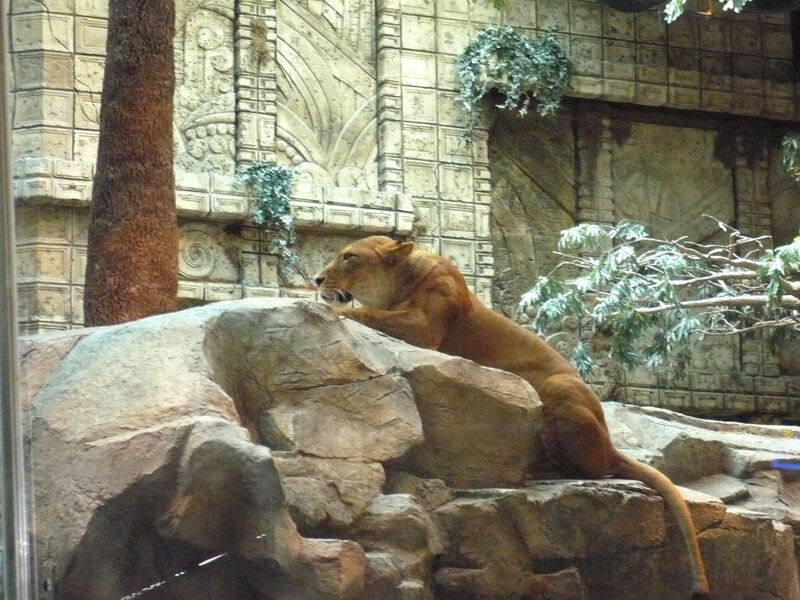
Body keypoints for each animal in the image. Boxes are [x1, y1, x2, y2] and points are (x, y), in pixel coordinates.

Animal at [315, 235, 710, 600]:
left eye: (348, 257)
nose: (318, 279)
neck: (402, 280)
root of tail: (612, 444)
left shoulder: (424, 327)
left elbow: (369, 315)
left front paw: (325, 305)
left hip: (558, 387)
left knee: (591, 469)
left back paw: (533, 471)